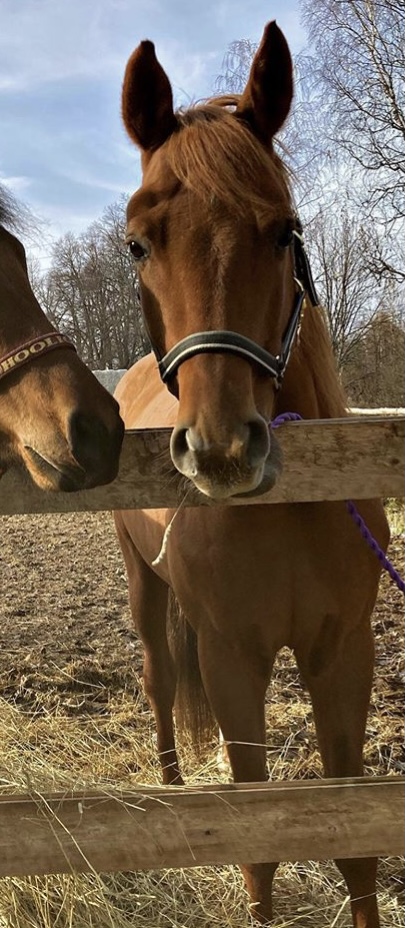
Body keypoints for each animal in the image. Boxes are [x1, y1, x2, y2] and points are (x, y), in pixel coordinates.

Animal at [114, 22, 389, 927]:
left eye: (283, 230)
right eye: (138, 241)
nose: (222, 450)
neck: (290, 508)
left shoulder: (341, 652)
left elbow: (355, 841)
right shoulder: (234, 659)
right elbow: (257, 848)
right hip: (143, 583)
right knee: (159, 680)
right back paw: (168, 786)